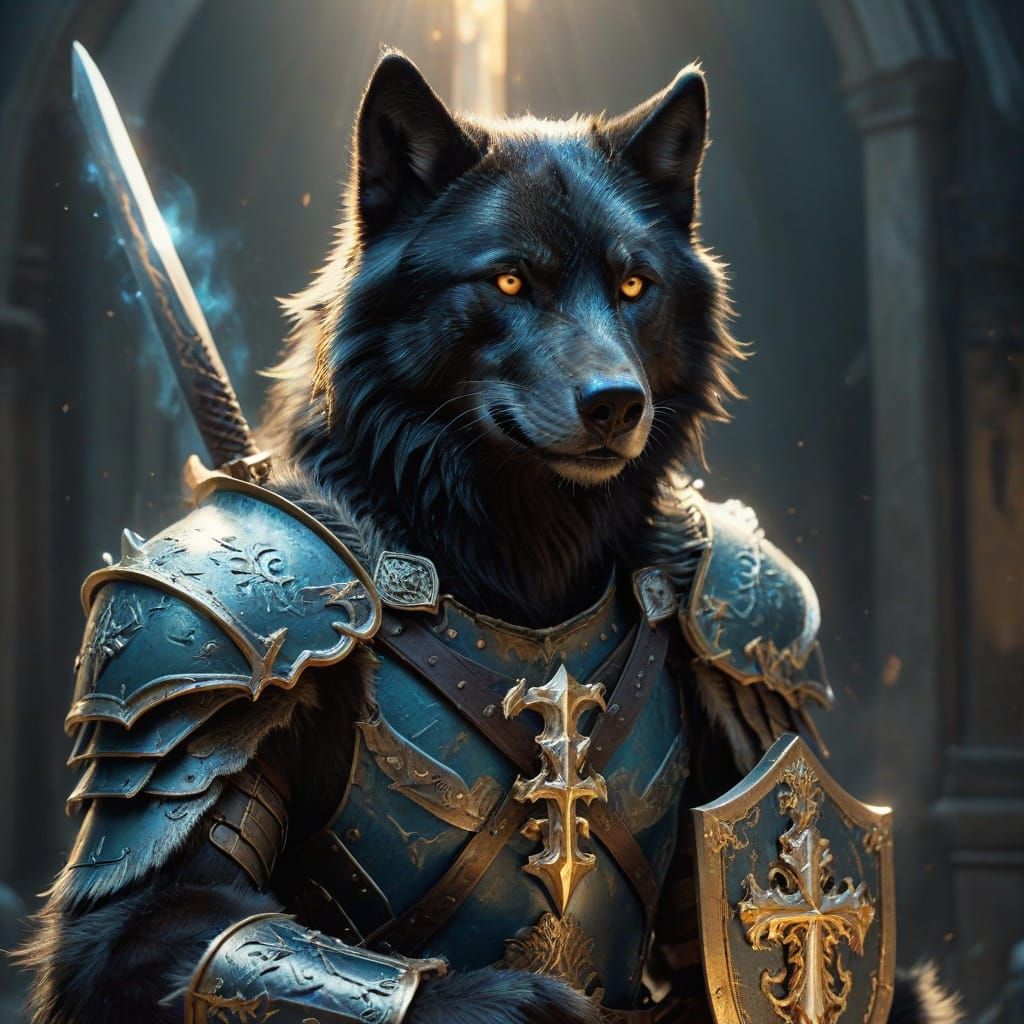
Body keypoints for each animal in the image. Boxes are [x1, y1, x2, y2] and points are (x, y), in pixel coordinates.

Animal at [20, 51, 957, 1024]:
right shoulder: (195, 653)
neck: (522, 553)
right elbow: (171, 921)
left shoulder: (752, 650)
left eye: (634, 285)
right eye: (509, 282)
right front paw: (517, 1002)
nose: (618, 404)